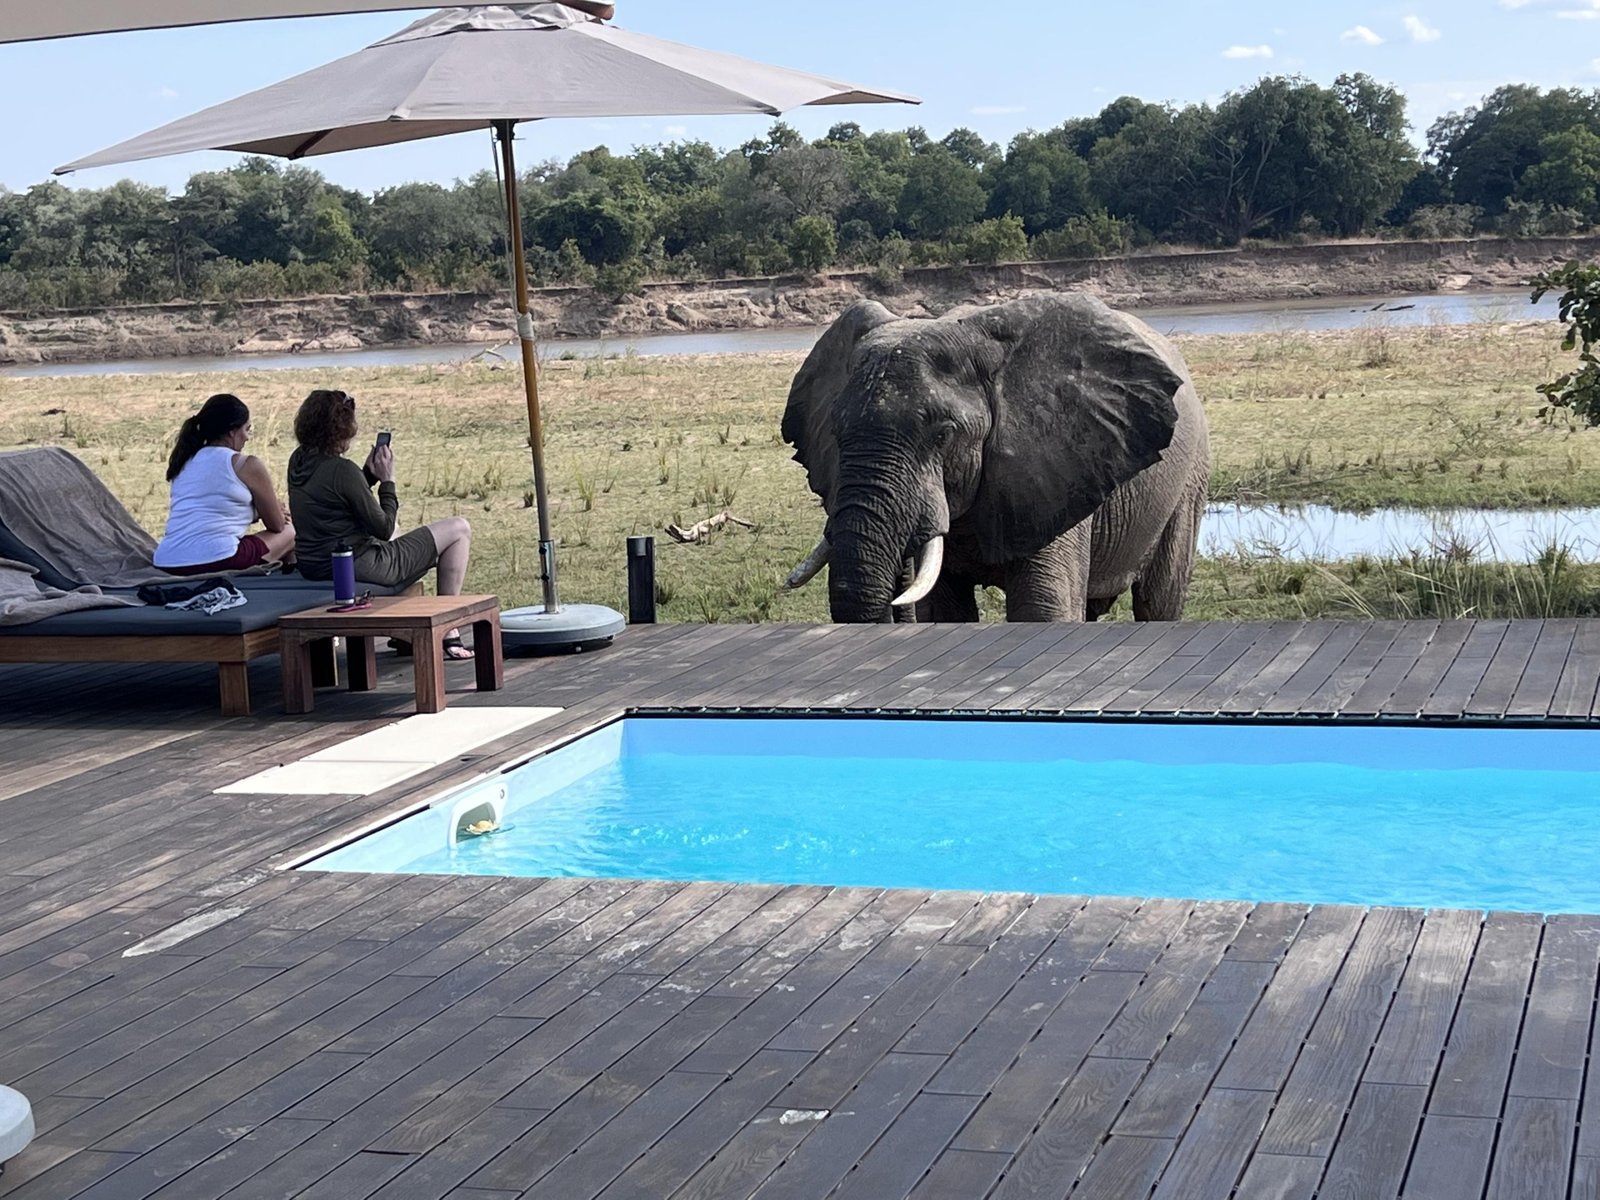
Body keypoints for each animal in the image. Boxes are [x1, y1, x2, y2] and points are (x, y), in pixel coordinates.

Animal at [780, 293, 1210, 624]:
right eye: (836, 434)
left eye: (943, 435)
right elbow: (944, 612)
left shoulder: (1056, 465)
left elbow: (1042, 608)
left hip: (1189, 479)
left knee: (1159, 601)